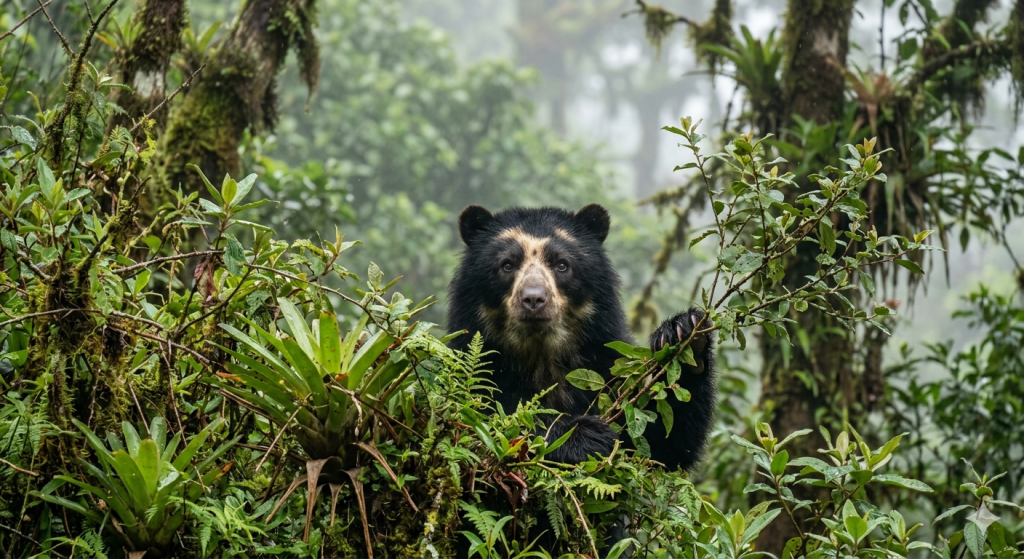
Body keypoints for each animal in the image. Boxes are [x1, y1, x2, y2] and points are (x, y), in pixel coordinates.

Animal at [447, 203, 717, 471]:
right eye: (507, 265)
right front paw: (587, 436)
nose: (533, 299)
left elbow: (662, 446)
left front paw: (683, 333)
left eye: (562, 265)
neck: (542, 354)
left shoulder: (606, 362)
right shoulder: (479, 366)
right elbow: (489, 419)